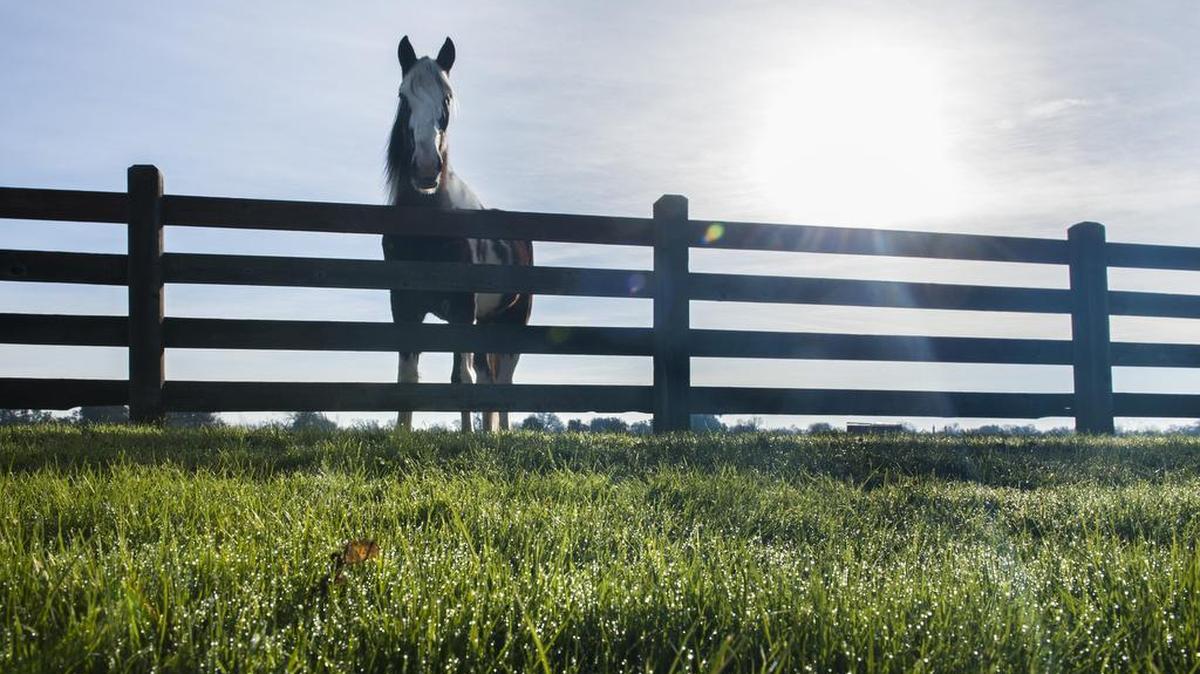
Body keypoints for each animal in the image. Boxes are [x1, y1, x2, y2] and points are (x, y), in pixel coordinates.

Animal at [383, 36, 533, 432]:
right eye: (403, 95)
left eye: (447, 97)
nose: (425, 168)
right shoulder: (404, 307)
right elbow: (408, 376)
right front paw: (402, 435)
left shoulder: (462, 310)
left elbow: (459, 378)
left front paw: (467, 437)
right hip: (485, 322)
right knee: (486, 375)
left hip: (512, 322)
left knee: (503, 378)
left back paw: (502, 432)